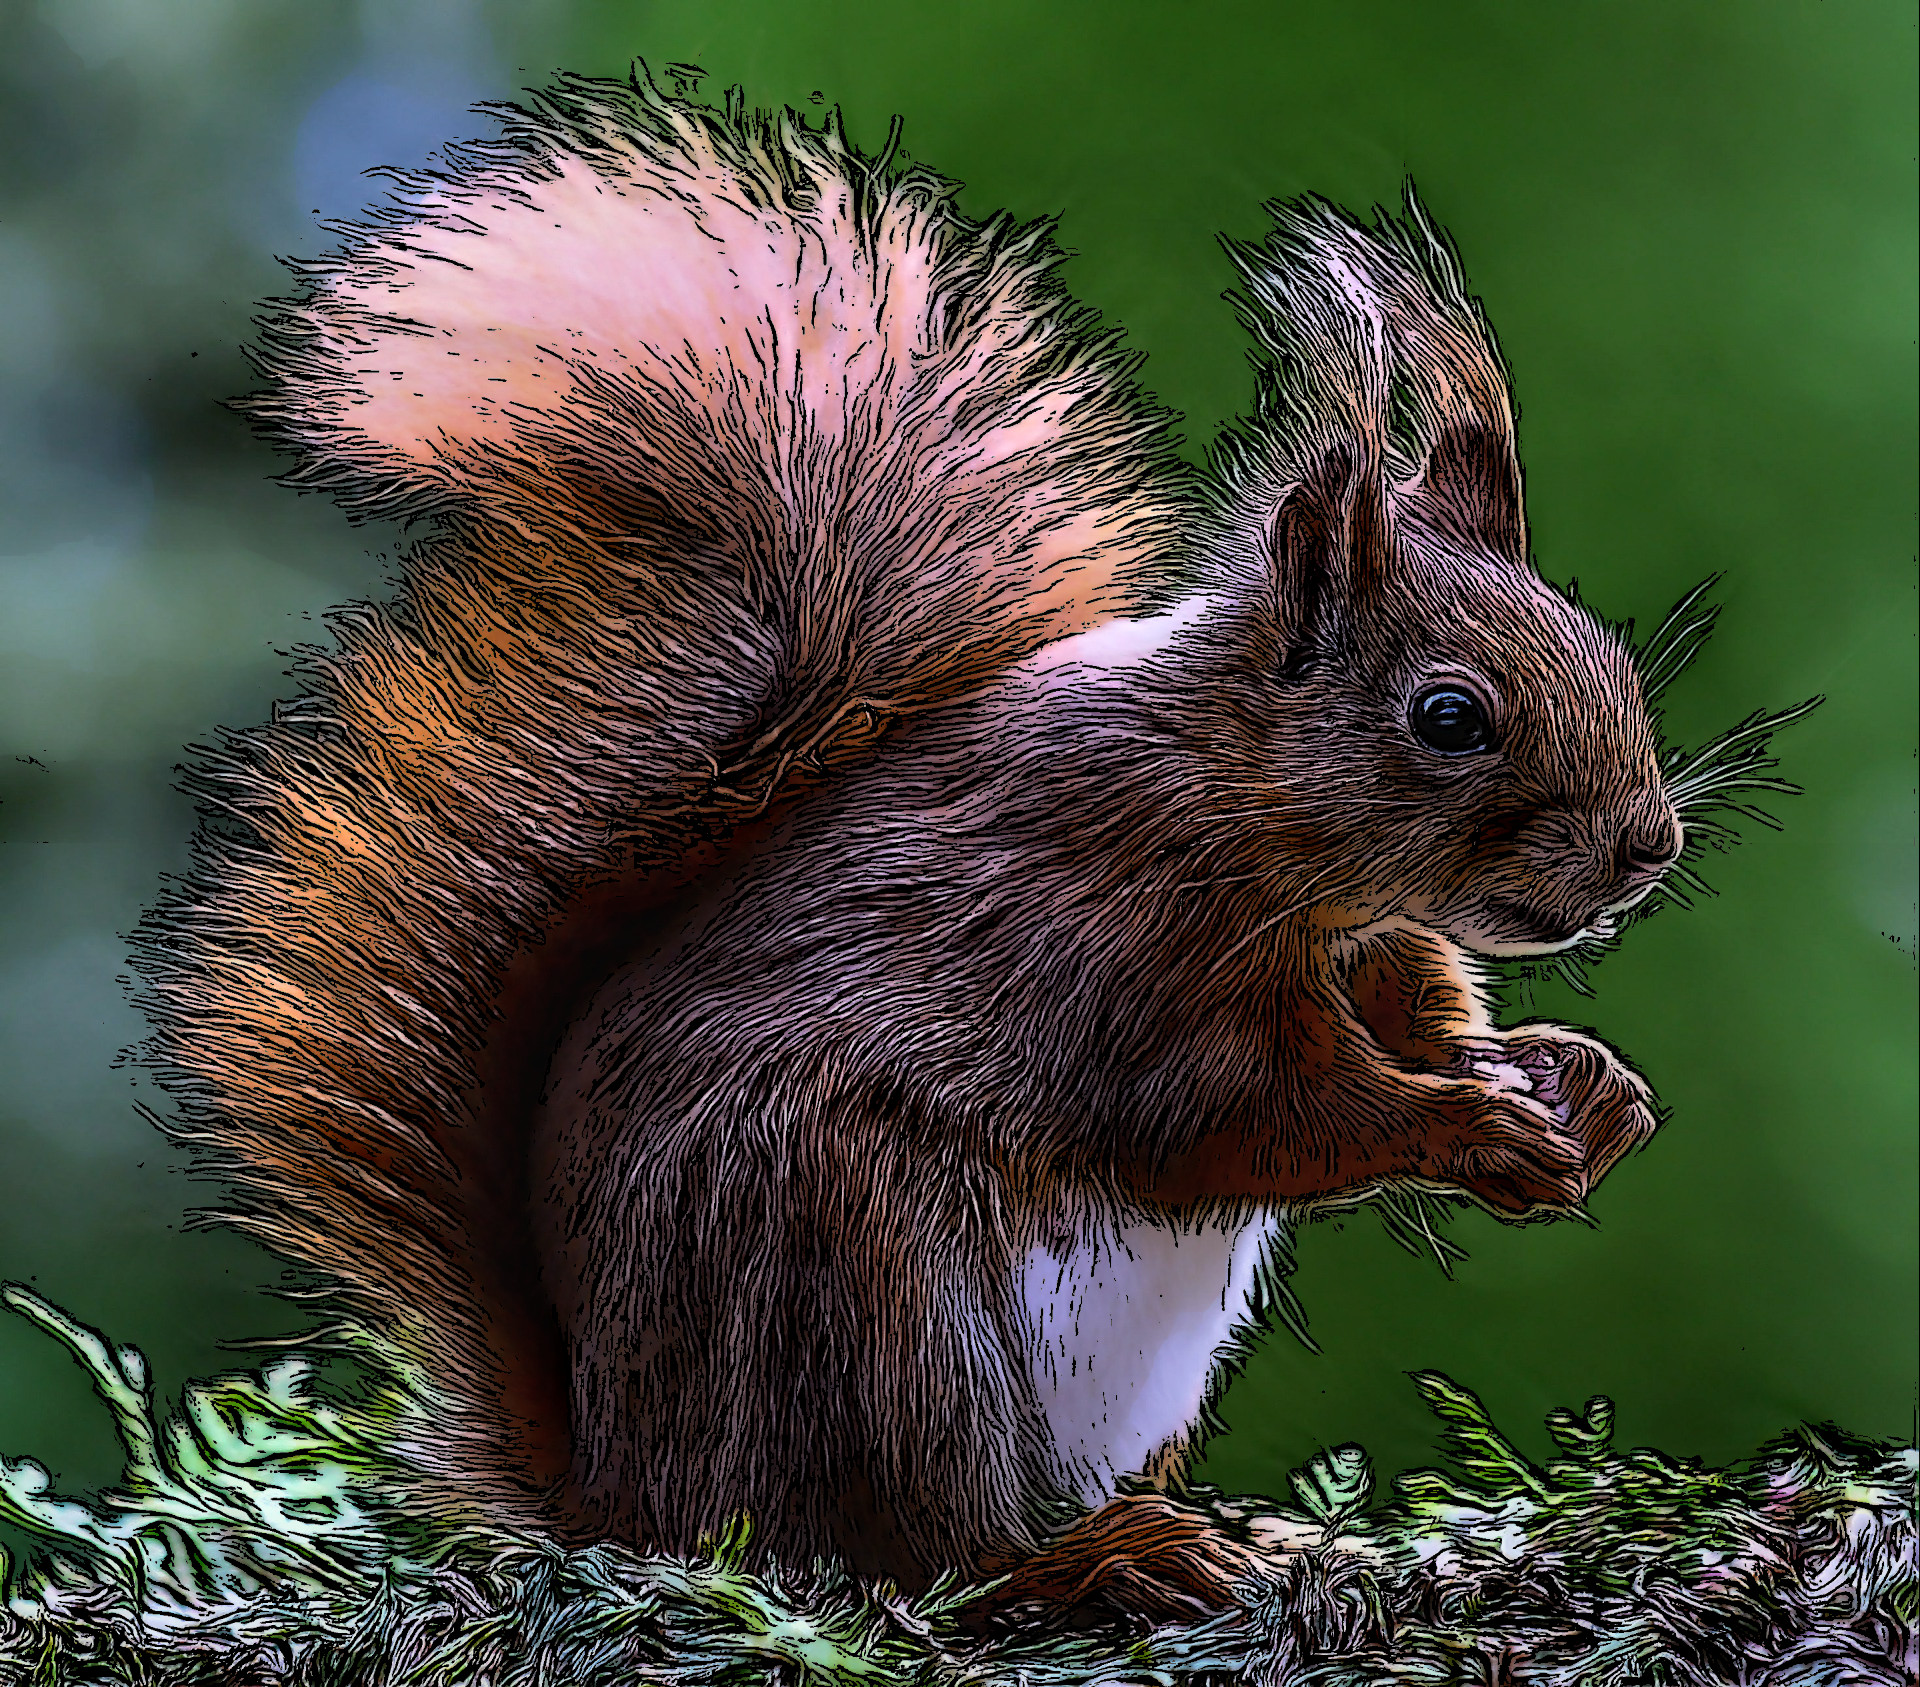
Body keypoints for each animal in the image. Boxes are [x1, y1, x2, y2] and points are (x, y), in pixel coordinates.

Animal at [132, 70, 1687, 1615]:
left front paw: (1574, 1081)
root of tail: (626, 1494)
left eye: (1603, 649)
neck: (1266, 834)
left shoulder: (1379, 945)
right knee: (910, 1551)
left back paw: (1248, 1534)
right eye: (1450, 715)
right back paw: (1094, 1557)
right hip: (857, 1275)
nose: (1648, 847)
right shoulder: (1112, 951)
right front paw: (1467, 1123)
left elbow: (1427, 1018)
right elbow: (1246, 1116)